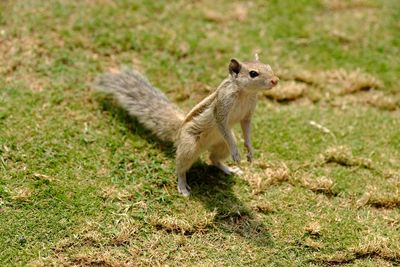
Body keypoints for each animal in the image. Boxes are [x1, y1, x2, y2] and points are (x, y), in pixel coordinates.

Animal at [95, 55, 280, 197]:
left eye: (269, 66)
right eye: (253, 73)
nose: (275, 80)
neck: (244, 93)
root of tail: (178, 132)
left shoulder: (248, 115)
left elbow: (246, 129)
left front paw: (249, 150)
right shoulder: (222, 109)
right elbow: (222, 124)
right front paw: (236, 152)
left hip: (221, 146)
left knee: (214, 159)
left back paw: (229, 170)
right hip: (189, 146)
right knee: (180, 169)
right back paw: (182, 186)